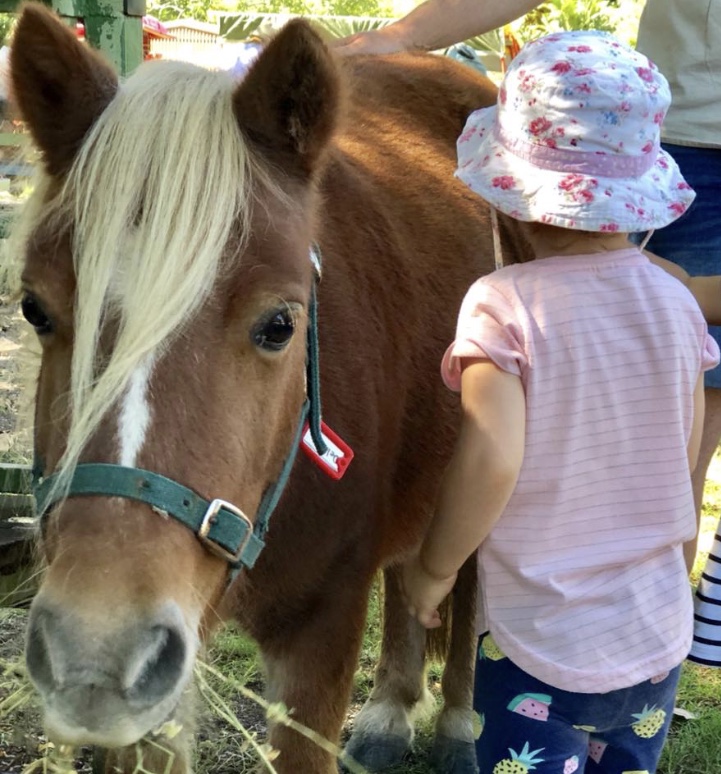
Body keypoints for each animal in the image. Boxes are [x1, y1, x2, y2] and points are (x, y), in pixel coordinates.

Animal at [8, 5, 529, 773]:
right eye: (34, 309)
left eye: (279, 325)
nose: (95, 655)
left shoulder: (320, 639)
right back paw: (389, 710)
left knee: (464, 588)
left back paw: (458, 722)